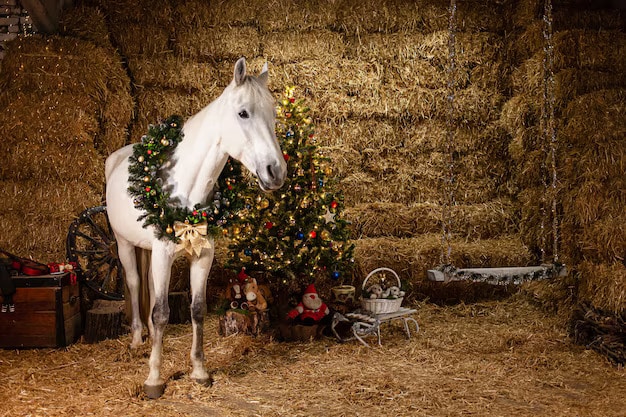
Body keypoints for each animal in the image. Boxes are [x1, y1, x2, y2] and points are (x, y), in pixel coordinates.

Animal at [104, 57, 286, 396]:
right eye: (243, 112)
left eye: (274, 111)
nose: (275, 171)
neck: (184, 186)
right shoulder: (162, 253)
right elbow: (161, 312)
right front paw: (154, 378)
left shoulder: (203, 256)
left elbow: (196, 309)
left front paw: (200, 371)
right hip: (124, 245)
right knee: (135, 285)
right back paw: (137, 340)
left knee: (151, 289)